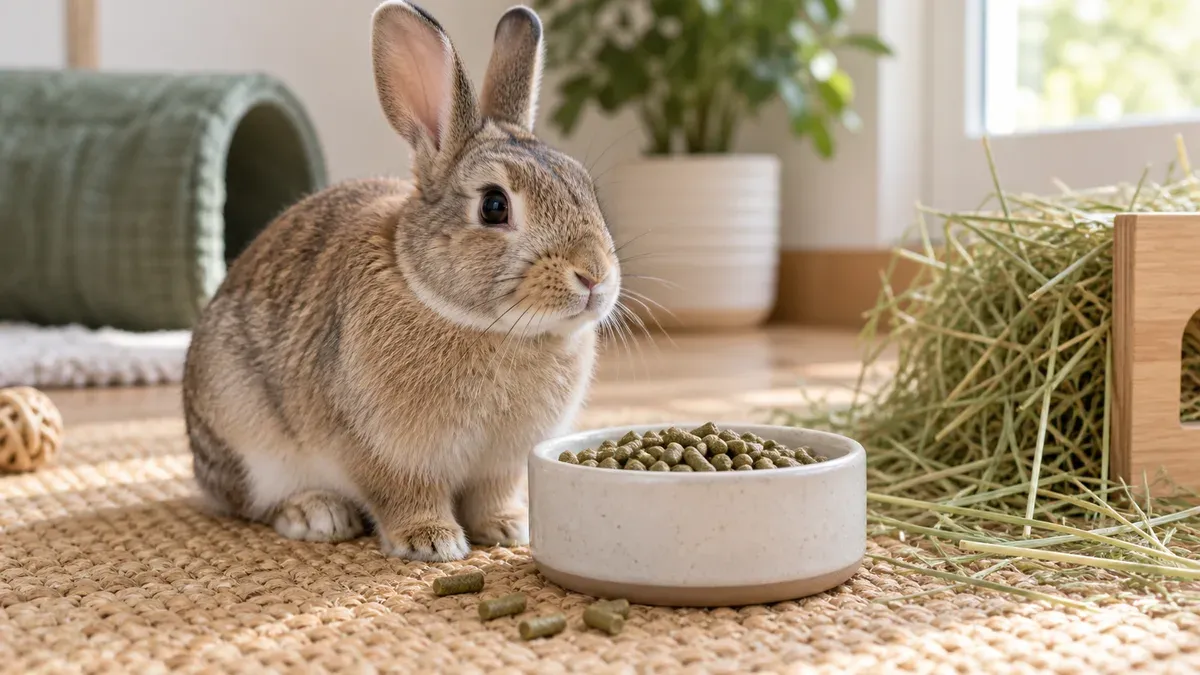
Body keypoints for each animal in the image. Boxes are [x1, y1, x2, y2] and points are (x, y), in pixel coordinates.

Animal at [182, 0, 620, 562]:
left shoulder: (500, 464)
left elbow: (493, 495)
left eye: (585, 187)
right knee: (252, 502)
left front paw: (507, 528)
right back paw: (316, 514)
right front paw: (431, 542)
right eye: (494, 206)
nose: (593, 276)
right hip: (246, 435)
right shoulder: (382, 451)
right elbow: (404, 494)